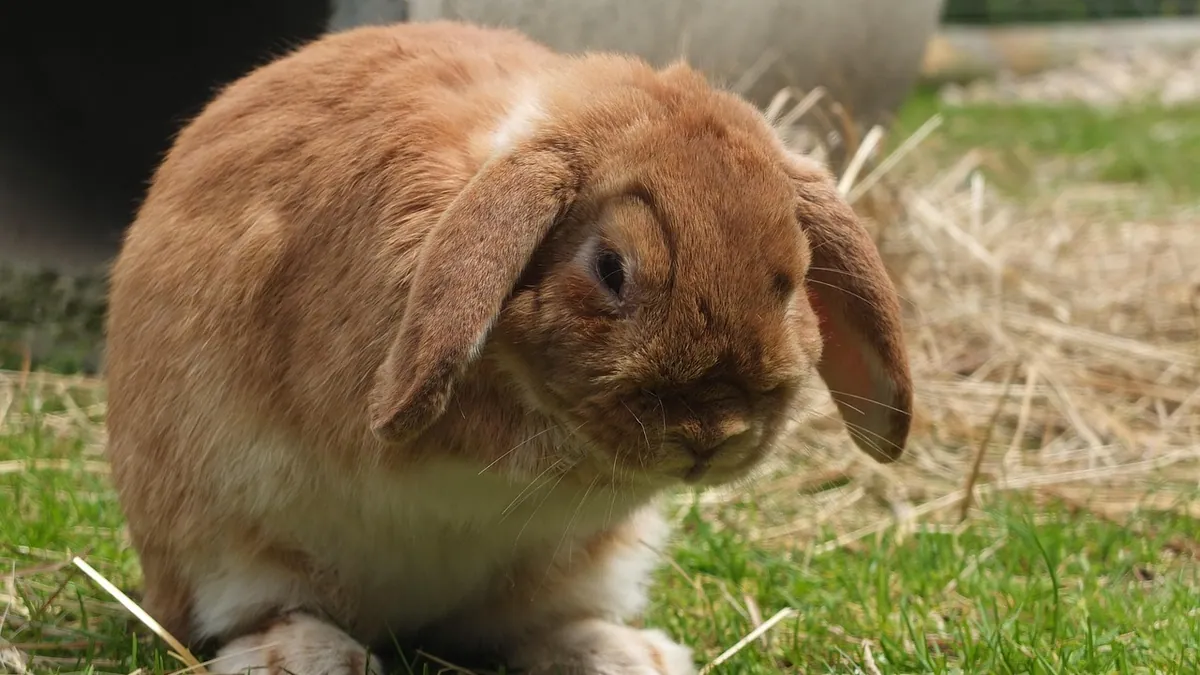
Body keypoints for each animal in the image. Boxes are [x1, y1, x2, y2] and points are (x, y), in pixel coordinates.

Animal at [103, 19, 913, 675]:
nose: (712, 435)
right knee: (263, 611)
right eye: (609, 268)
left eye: (794, 280)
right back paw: (301, 656)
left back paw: (629, 655)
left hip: (580, 569)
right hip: (224, 549)